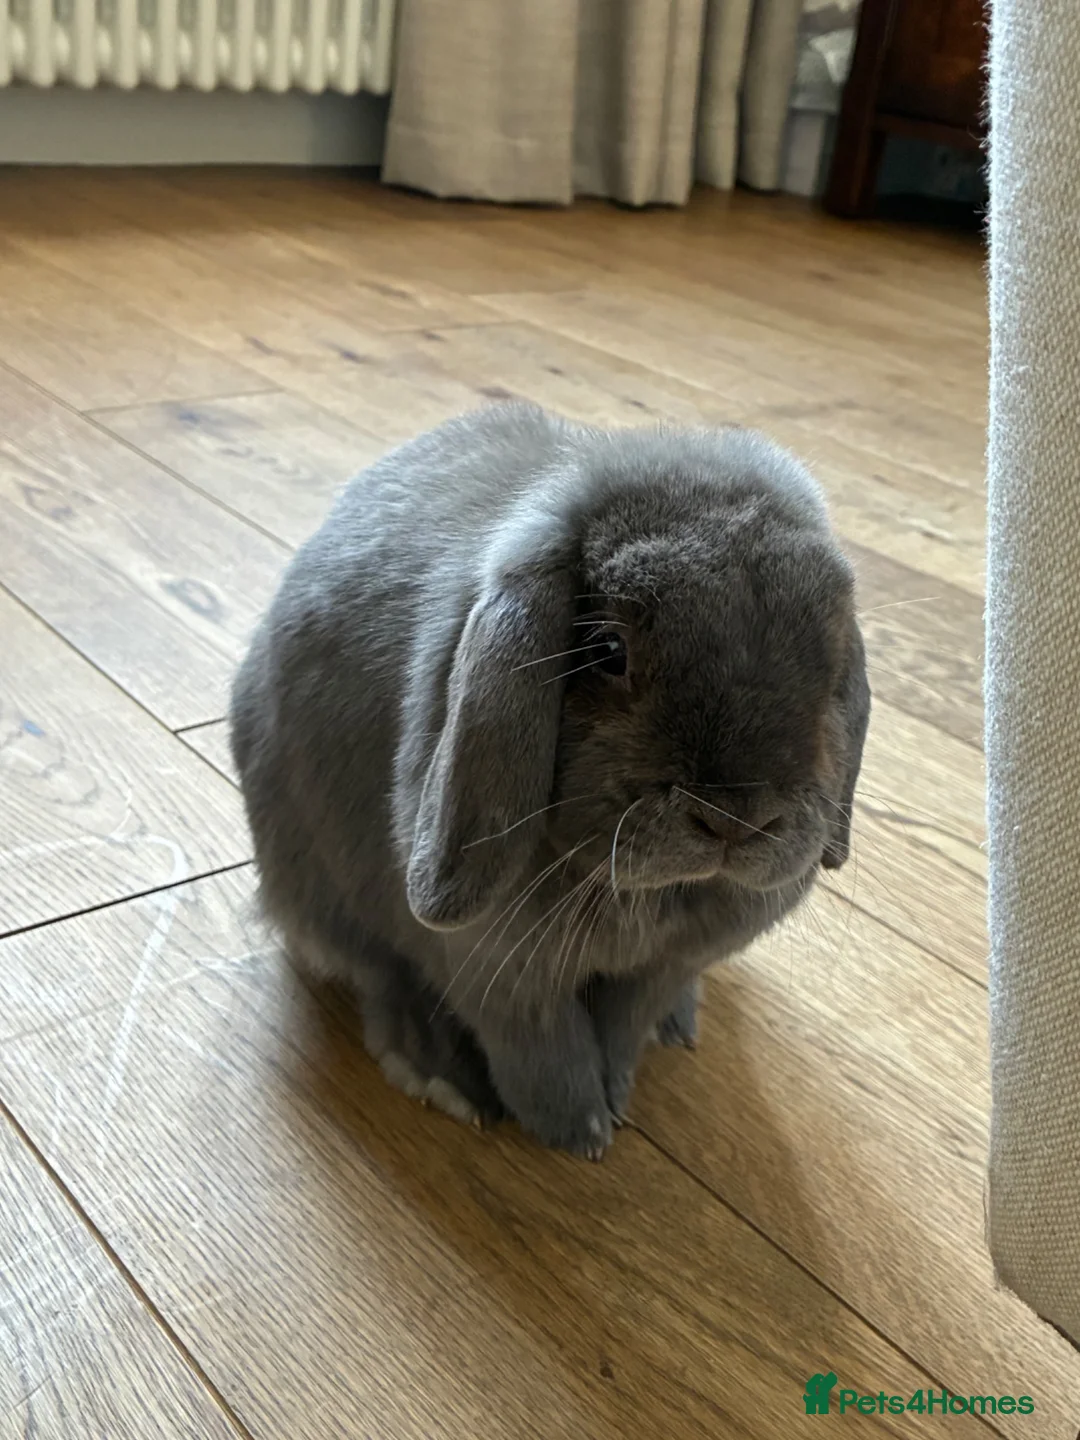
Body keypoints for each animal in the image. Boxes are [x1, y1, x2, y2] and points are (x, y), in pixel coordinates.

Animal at [229, 402, 870, 1159]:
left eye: (831, 656)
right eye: (607, 651)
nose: (737, 817)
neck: (650, 894)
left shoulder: (661, 966)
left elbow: (624, 1025)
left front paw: (617, 1094)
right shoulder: (497, 973)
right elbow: (543, 1052)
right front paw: (580, 1136)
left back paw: (677, 1025)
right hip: (320, 883)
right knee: (377, 972)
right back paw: (437, 1071)